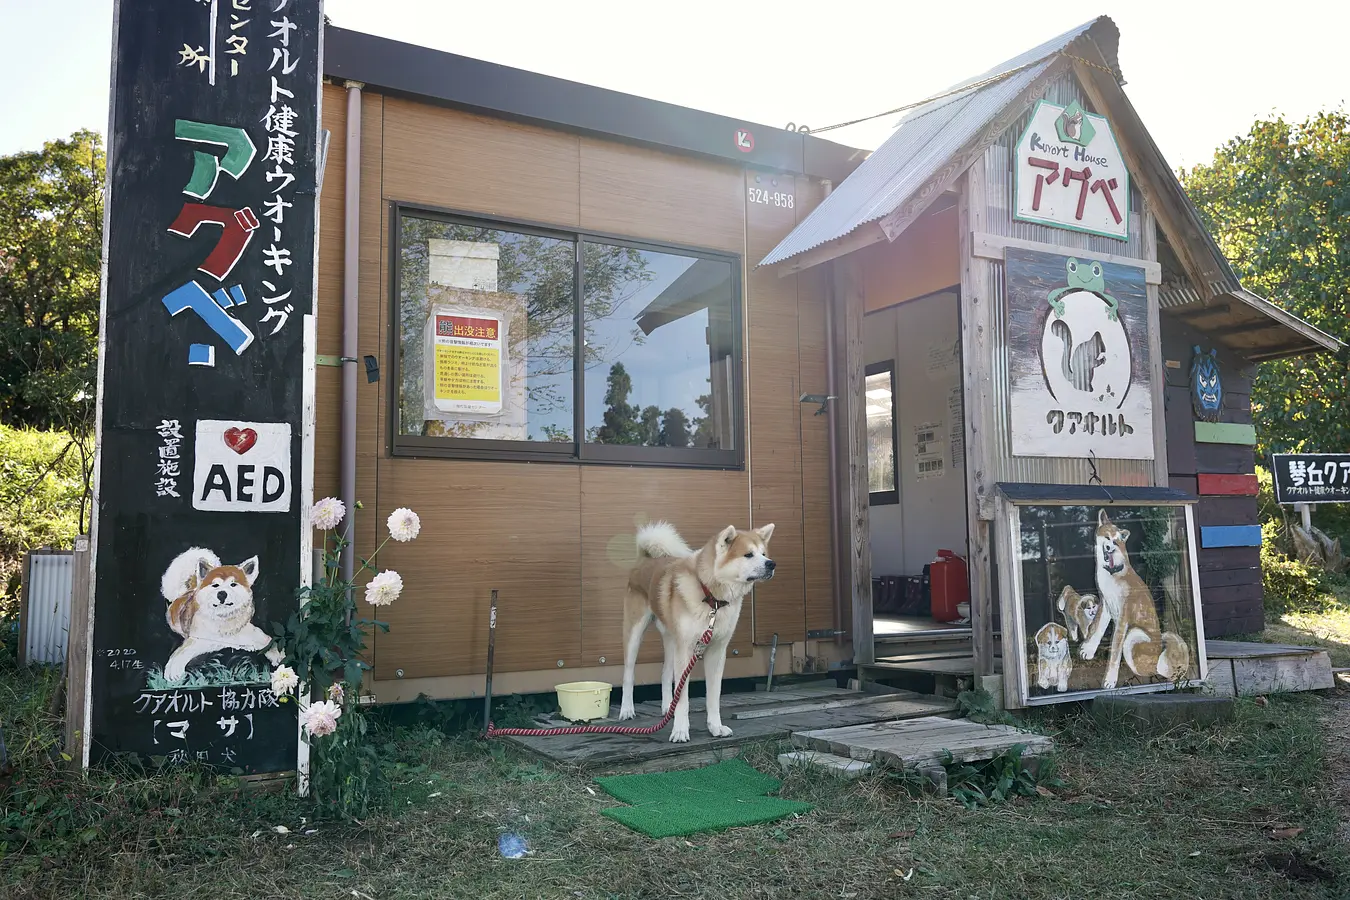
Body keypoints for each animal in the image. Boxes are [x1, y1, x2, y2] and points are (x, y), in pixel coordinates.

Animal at [618, 523, 777, 744]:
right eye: (748, 554)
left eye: (764, 554)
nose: (772, 564)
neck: (712, 598)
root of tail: (645, 559)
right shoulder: (686, 650)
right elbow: (683, 697)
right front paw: (680, 730)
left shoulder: (717, 651)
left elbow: (713, 696)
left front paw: (715, 727)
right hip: (636, 633)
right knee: (629, 674)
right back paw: (627, 709)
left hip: (672, 639)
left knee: (666, 674)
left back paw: (668, 708)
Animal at [1080, 510, 1188, 696]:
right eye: (1107, 538)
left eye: (1116, 542)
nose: (1109, 548)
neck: (1113, 574)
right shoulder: (1106, 605)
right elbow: (1097, 630)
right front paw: (1088, 650)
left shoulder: (1123, 616)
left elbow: (1115, 652)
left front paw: (1110, 680)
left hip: (1134, 634)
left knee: (1151, 670)